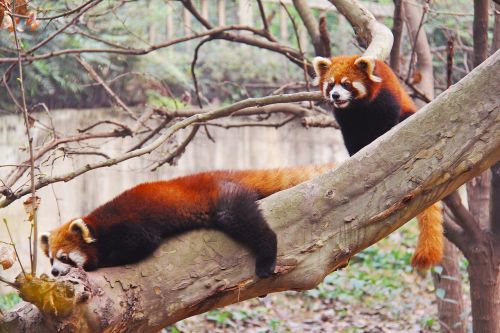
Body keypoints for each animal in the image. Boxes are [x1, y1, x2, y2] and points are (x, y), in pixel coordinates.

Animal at [41, 163, 334, 278]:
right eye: (50, 259)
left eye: (64, 257)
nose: (53, 272)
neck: (98, 224)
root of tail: (218, 174)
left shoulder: (130, 227)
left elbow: (139, 244)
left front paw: (97, 263)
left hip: (225, 201)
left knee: (250, 224)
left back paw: (266, 257)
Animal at [312, 53, 446, 268]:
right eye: (330, 84)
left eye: (347, 84)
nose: (335, 96)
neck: (358, 108)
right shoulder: (346, 120)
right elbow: (352, 139)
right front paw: (356, 154)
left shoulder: (386, 98)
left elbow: (387, 122)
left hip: (409, 113)